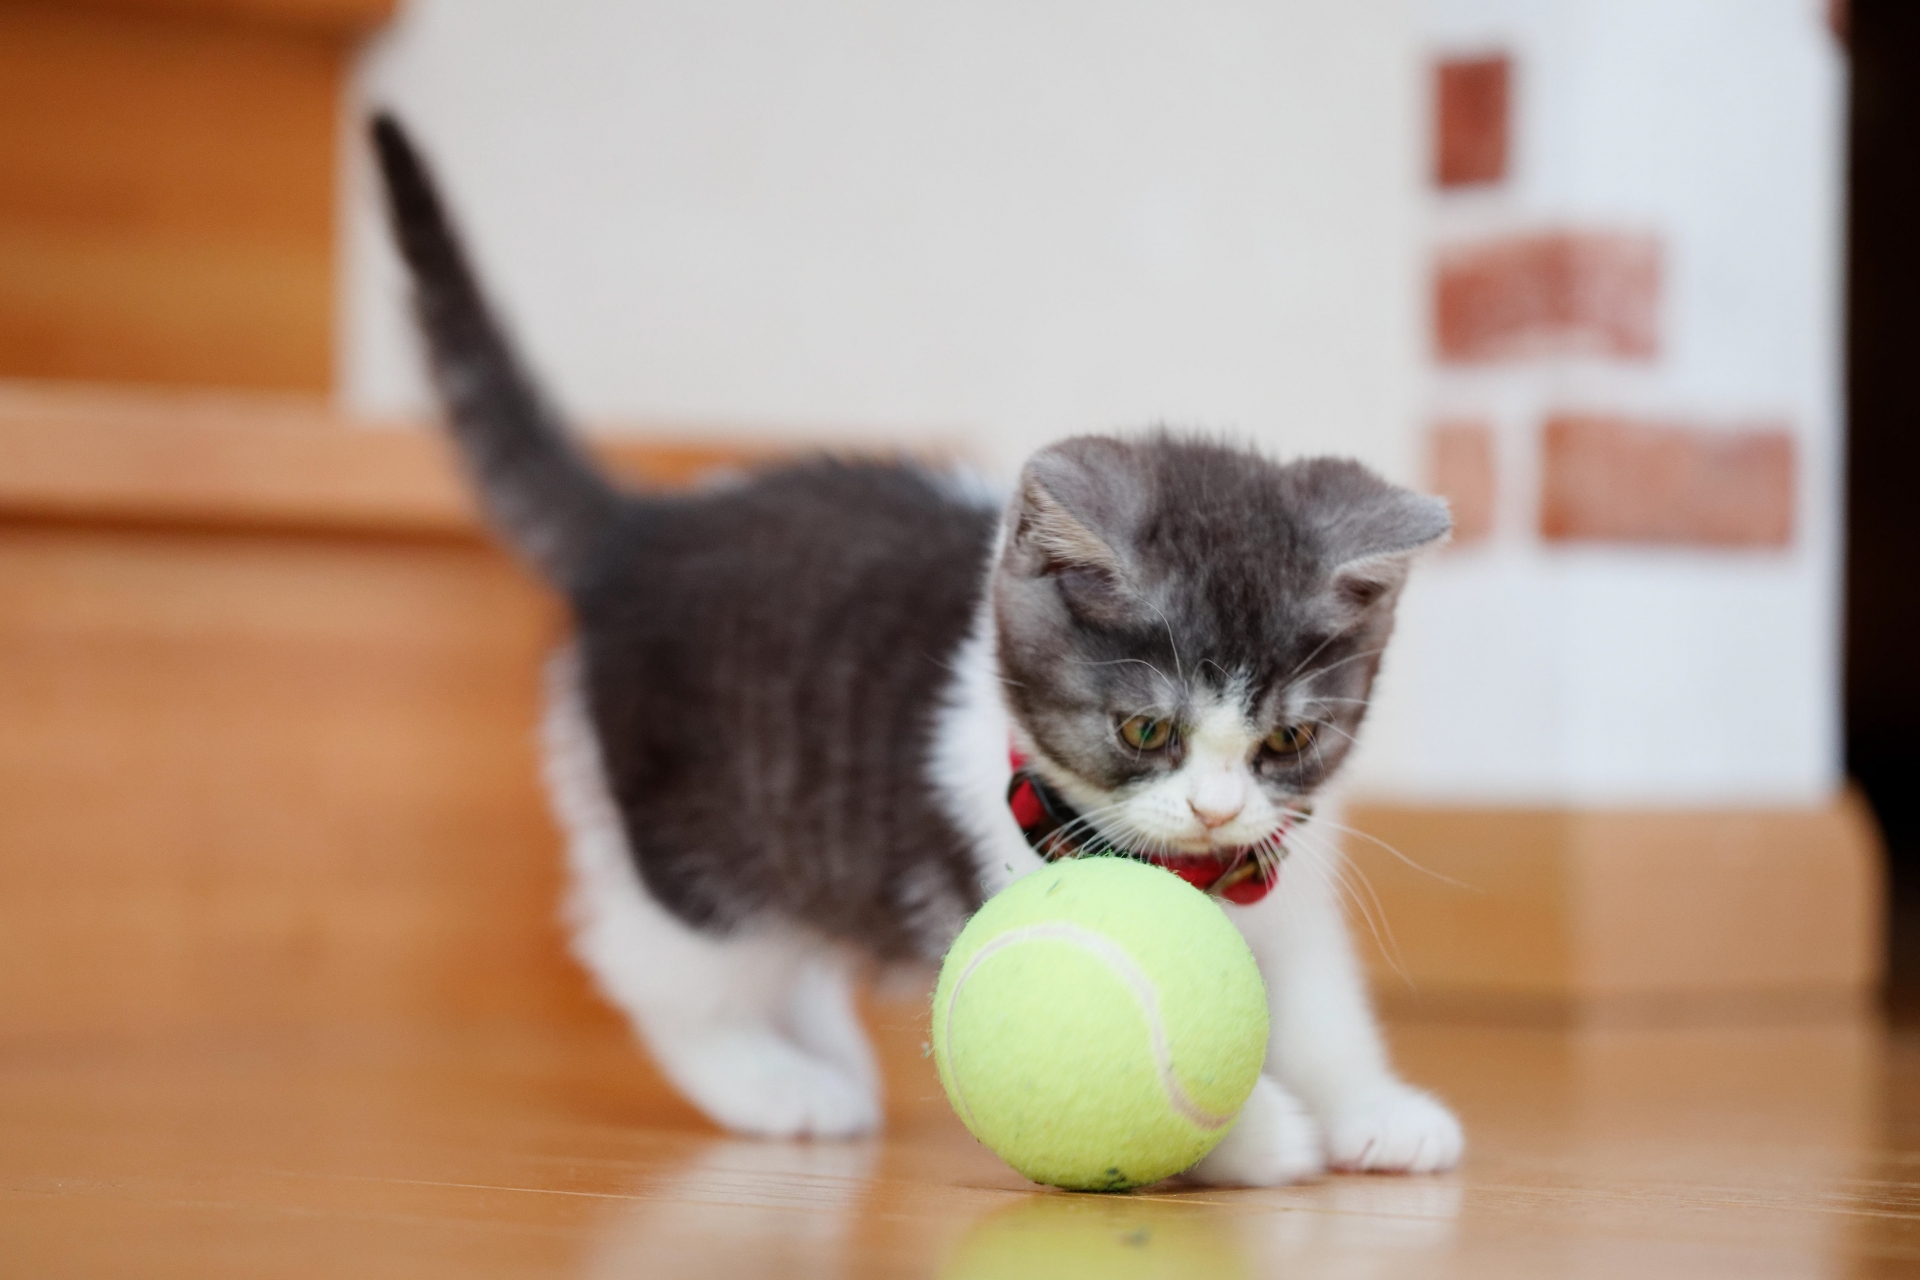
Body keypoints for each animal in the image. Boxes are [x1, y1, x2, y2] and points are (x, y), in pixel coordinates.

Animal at [370, 115, 1451, 1189]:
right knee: (662, 962)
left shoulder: (1292, 877)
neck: (1196, 876)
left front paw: (1374, 1108)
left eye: (1286, 743)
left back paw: (825, 1051)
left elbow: (1321, 1005)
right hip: (692, 821)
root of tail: (642, 528)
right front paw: (1260, 1134)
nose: (1216, 809)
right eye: (1146, 730)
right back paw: (775, 1082)